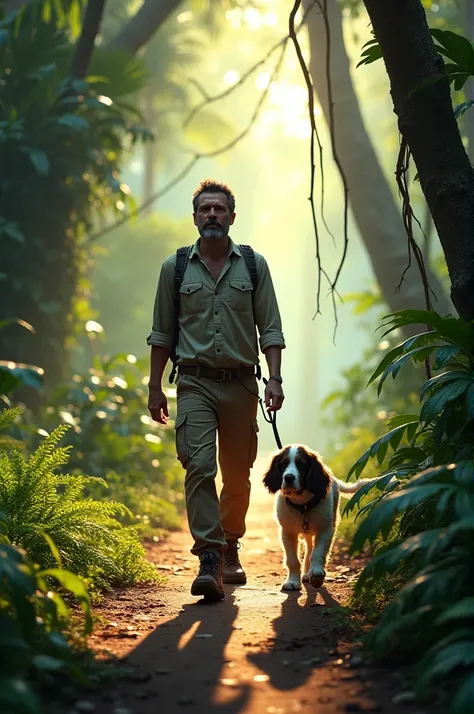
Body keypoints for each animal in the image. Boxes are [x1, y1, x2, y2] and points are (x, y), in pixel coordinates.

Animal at [262, 444, 374, 588]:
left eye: (301, 464)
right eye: (283, 463)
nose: (288, 478)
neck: (303, 505)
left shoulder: (326, 529)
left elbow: (318, 552)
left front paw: (316, 573)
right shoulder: (287, 532)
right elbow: (292, 559)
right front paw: (292, 581)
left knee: (311, 550)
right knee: (309, 548)